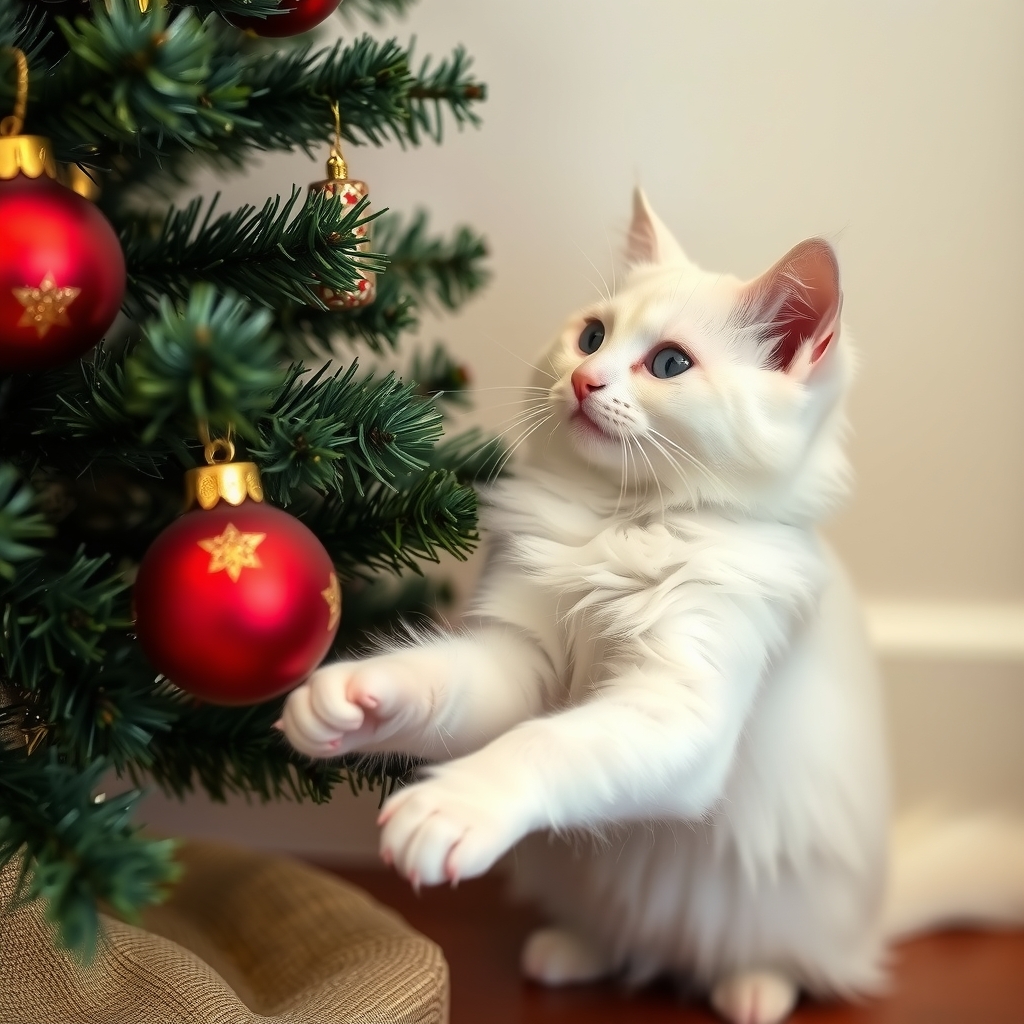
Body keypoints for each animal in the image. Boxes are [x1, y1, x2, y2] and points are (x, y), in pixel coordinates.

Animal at [280, 192, 1024, 1024]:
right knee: (628, 944)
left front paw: (453, 807)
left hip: (792, 908)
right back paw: (574, 952)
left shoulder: (679, 705)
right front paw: (352, 698)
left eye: (670, 362)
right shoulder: (522, 662)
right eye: (591, 336)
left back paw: (752, 988)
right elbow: (442, 681)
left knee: (787, 963)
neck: (621, 520)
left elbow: (546, 747)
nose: (584, 379)